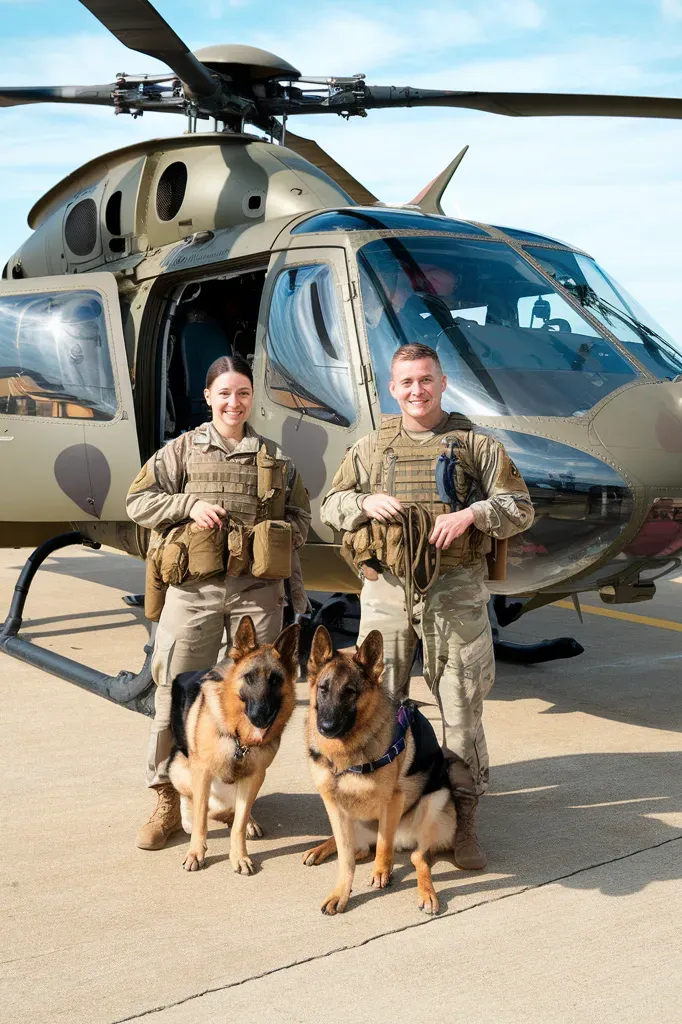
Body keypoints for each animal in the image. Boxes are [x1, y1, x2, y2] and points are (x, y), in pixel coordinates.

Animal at [166, 614, 296, 872]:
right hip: (177, 767)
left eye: (276, 680)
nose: (261, 716)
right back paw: (188, 818)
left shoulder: (254, 776)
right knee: (192, 801)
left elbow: (238, 823)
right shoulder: (202, 773)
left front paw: (239, 856)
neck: (238, 738)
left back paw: (248, 822)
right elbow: (201, 822)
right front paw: (196, 853)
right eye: (249, 678)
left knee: (237, 812)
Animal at [303, 626, 454, 917]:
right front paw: (340, 893)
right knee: (358, 849)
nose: (325, 727)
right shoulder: (333, 804)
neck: (345, 753)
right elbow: (346, 860)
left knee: (418, 857)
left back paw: (427, 893)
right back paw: (320, 849)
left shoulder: (392, 801)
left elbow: (383, 845)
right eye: (323, 689)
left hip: (436, 800)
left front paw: (382, 871)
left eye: (350, 692)